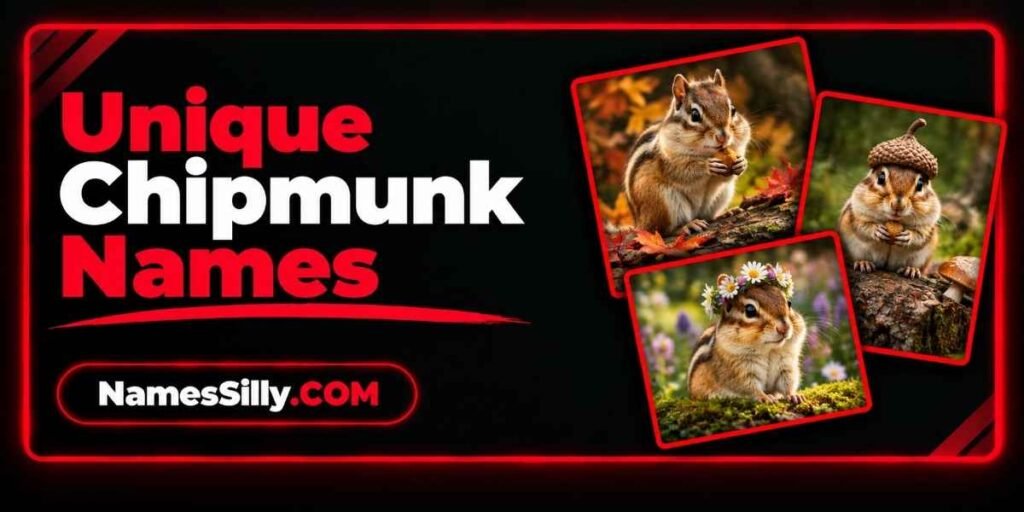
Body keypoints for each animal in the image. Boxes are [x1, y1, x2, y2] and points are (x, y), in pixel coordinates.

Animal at [623, 69, 751, 235]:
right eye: (695, 116)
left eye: (733, 110)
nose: (723, 137)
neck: (705, 153)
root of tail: (639, 223)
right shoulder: (668, 160)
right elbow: (683, 172)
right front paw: (708, 166)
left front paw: (742, 163)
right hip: (661, 200)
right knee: (663, 230)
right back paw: (686, 226)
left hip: (723, 195)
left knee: (709, 216)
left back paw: (726, 213)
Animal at [837, 119, 941, 279]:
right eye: (881, 178)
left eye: (920, 184)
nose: (898, 206)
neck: (893, 221)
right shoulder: (856, 212)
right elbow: (862, 226)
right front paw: (877, 230)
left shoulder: (928, 225)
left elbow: (920, 236)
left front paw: (908, 236)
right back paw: (863, 263)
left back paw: (911, 270)